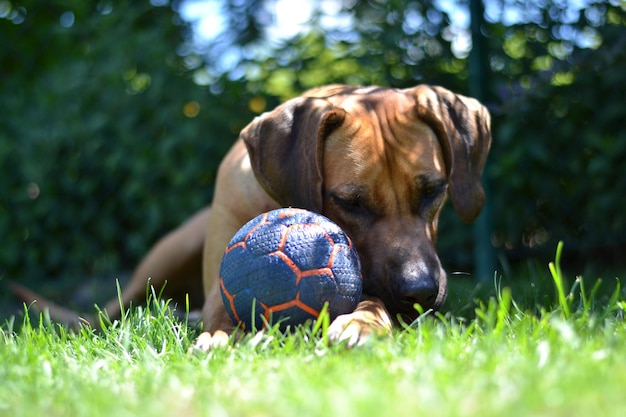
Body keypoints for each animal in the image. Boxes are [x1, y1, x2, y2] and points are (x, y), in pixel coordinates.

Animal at [8, 84, 488, 348]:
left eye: (434, 191)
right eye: (350, 202)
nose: (420, 292)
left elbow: (370, 300)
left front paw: (363, 323)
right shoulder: (219, 292)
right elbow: (223, 313)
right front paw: (221, 339)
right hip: (167, 255)